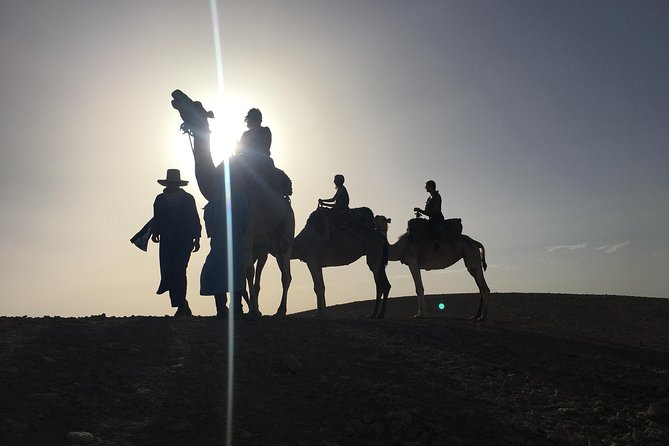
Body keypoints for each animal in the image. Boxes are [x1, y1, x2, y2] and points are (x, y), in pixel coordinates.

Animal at [170, 89, 292, 316]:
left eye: (197, 105)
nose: (177, 93)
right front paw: (240, 308)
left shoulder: (248, 221)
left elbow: (246, 269)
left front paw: (252, 311)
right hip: (269, 239)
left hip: (286, 227)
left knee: (285, 273)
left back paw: (280, 310)